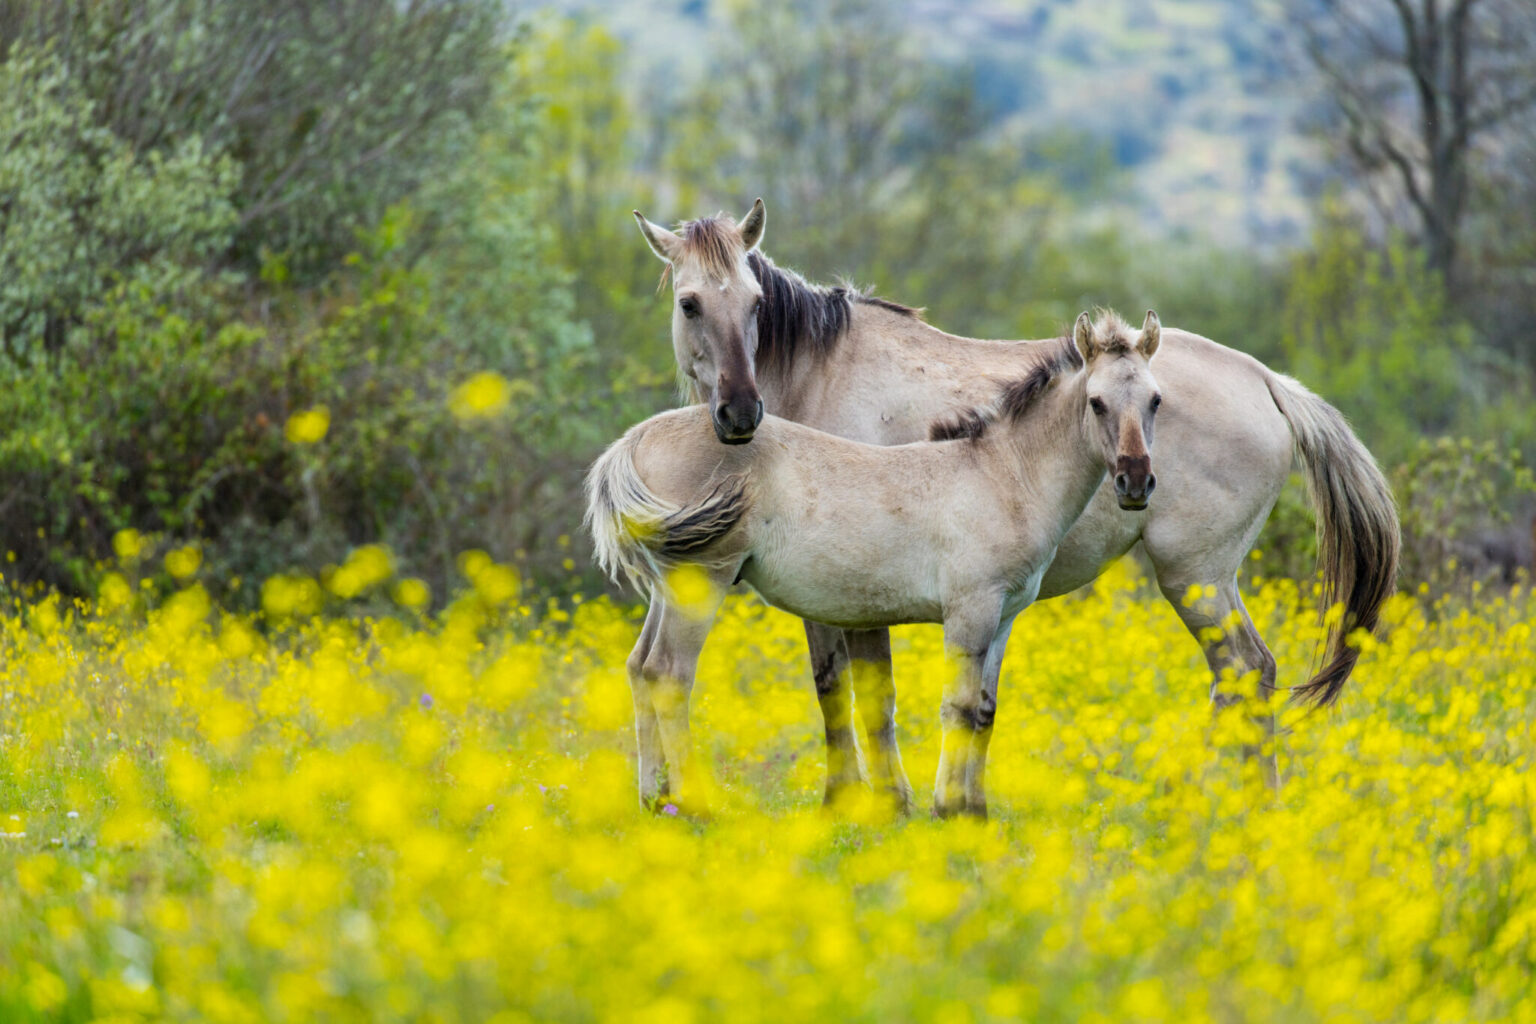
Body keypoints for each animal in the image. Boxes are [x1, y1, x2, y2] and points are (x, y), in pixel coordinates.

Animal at [588, 310, 1164, 819]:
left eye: (1156, 400)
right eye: (1096, 403)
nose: (1135, 482)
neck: (1002, 475)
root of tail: (635, 440)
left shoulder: (1003, 616)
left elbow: (983, 709)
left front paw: (975, 812)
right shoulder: (970, 611)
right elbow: (955, 708)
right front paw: (946, 808)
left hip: (667, 589)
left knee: (639, 666)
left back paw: (654, 799)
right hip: (701, 583)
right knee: (669, 673)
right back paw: (695, 804)